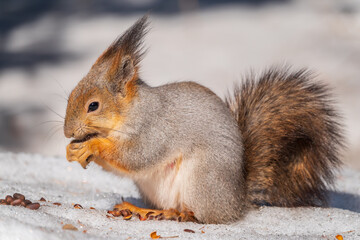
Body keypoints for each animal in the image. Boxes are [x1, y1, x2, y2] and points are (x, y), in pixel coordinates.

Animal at [64, 15, 344, 224]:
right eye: (70, 95)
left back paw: (174, 214)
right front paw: (72, 150)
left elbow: (137, 156)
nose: (68, 133)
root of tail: (236, 202)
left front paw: (92, 145)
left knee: (199, 215)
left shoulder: (155, 129)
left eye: (93, 105)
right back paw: (141, 209)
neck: (131, 111)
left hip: (201, 179)